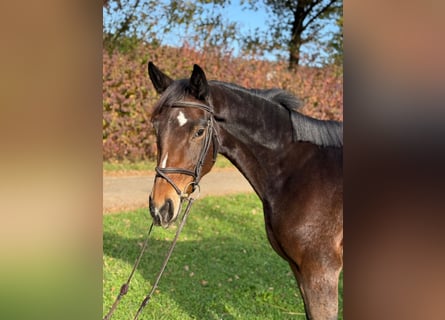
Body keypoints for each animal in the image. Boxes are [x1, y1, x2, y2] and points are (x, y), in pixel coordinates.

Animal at [147, 62, 342, 320]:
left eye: (199, 131)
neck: (299, 172)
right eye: (156, 127)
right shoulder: (300, 270)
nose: (160, 207)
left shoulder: (321, 273)